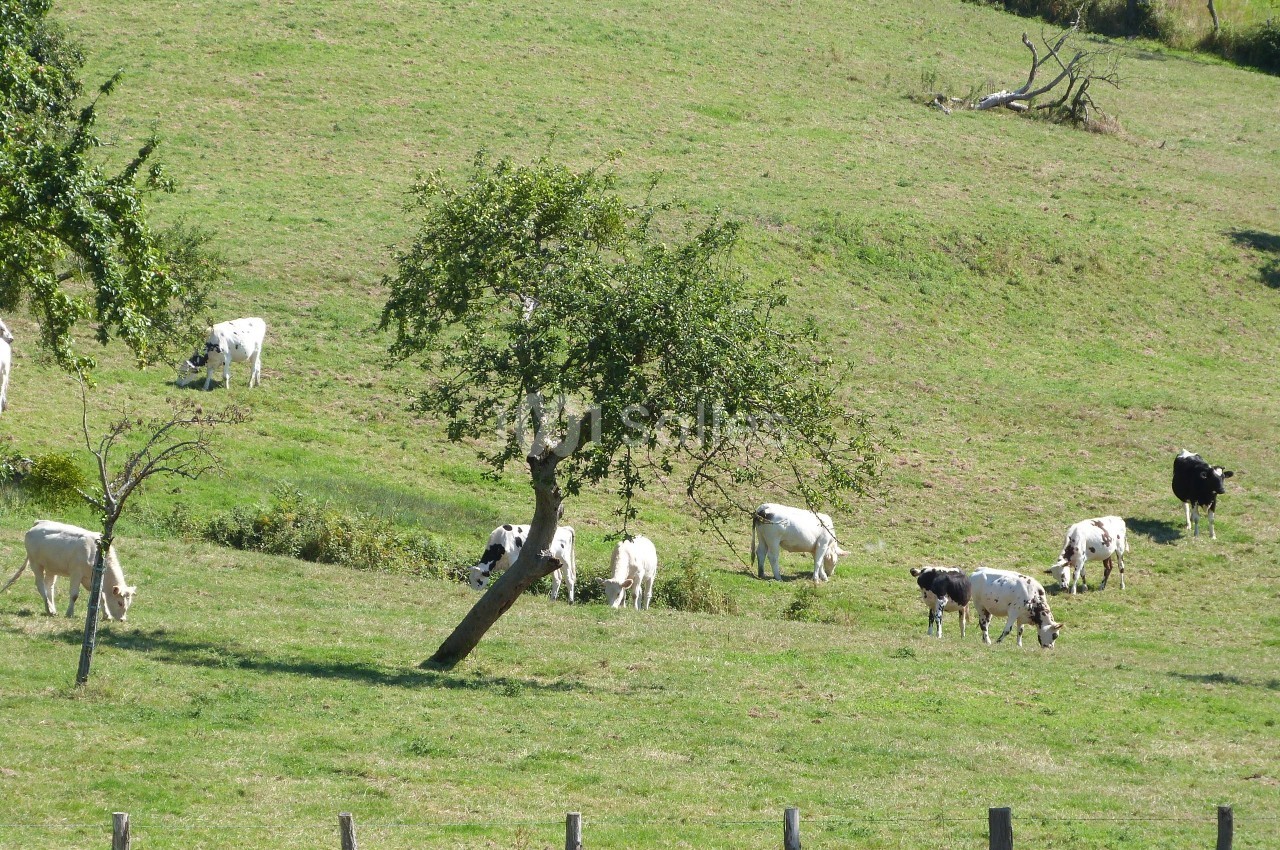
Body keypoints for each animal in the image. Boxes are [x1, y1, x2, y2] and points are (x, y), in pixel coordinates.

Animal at [1, 521, 136, 621]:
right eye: (120, 603)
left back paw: (52, 609)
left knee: (49, 586)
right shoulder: (76, 573)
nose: (123, 619)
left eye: (129, 603)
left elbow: (100, 596)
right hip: (36, 563)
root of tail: (39, 522)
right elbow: (74, 595)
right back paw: (49, 609)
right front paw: (69, 613)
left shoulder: (91, 578)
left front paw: (106, 615)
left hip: (51, 567)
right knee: (40, 585)